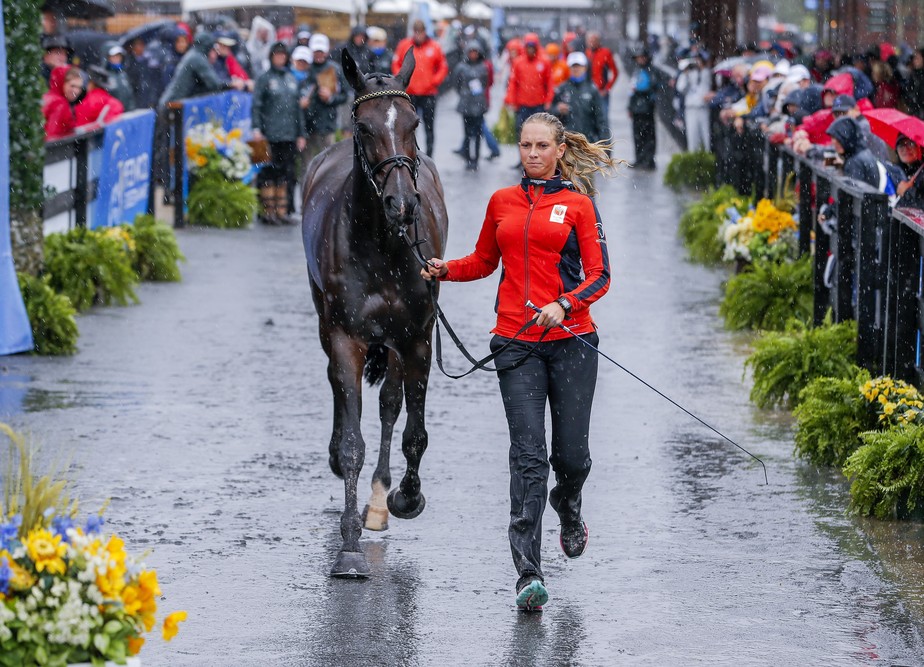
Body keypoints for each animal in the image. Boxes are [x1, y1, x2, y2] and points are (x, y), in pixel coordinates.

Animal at [302, 49, 450, 576]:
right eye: (363, 126)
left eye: (413, 122)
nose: (402, 203)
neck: (384, 245)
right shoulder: (346, 336)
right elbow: (352, 443)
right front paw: (349, 546)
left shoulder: (417, 336)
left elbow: (412, 429)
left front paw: (405, 497)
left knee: (390, 403)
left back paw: (383, 500)